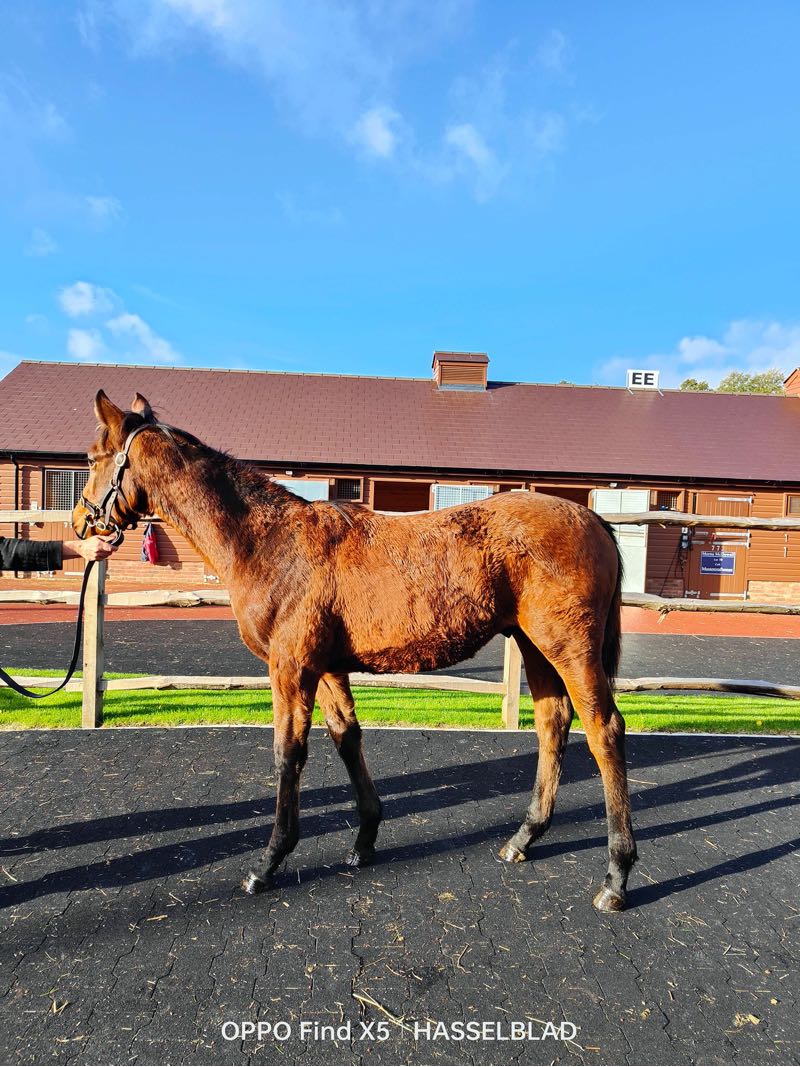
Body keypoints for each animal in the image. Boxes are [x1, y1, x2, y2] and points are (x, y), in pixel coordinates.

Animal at [73, 390, 637, 912]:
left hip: (568, 645)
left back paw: (616, 875)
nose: (80, 523)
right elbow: (347, 737)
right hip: (534, 645)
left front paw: (269, 862)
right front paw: (364, 841)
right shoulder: (325, 669)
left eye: (93, 457)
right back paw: (524, 837)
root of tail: (593, 520)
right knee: (553, 723)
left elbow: (288, 754)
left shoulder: (290, 667)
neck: (268, 542)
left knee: (603, 729)